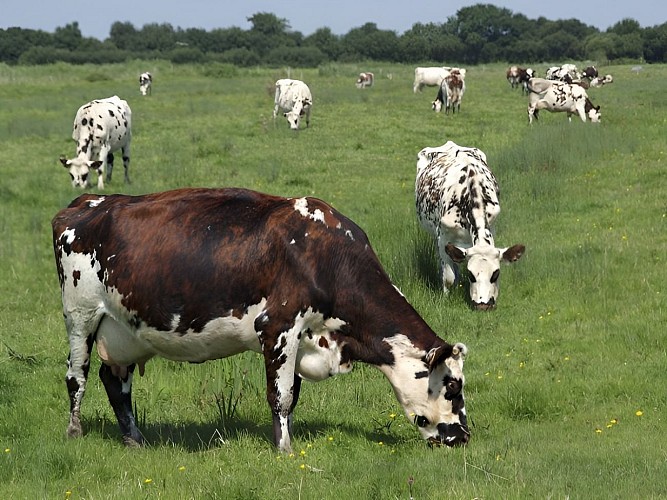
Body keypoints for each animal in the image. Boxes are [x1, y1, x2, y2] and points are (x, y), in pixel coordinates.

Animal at [52, 187, 470, 453]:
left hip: (124, 330)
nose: (464, 436)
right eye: (452, 385)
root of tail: (88, 202)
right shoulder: (277, 327)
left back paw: (134, 439)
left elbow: (293, 394)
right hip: (80, 315)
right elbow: (280, 396)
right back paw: (74, 431)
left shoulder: (303, 337)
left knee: (114, 380)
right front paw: (284, 449)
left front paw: (286, 437)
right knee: (77, 376)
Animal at [415, 142, 525, 310]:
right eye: (471, 275)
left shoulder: (491, 228)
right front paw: (446, 297)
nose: (483, 305)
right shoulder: (443, 237)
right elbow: (448, 277)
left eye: (496, 274)